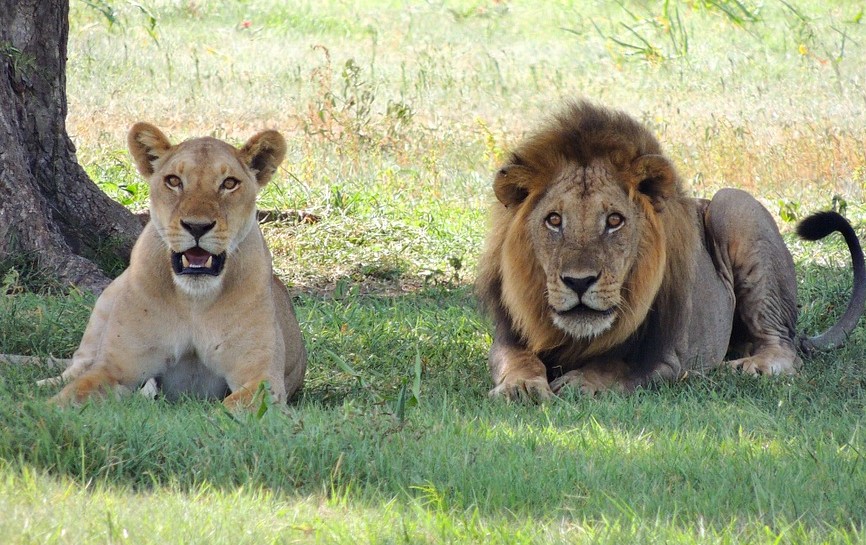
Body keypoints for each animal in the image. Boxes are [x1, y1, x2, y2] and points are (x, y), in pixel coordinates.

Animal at [50, 121, 308, 406]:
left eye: (229, 183)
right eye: (173, 181)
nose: (197, 226)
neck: (193, 300)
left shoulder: (262, 378)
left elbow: (233, 407)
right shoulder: (114, 368)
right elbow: (71, 395)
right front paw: (40, 407)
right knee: (76, 366)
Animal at [476, 102, 860, 400]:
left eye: (614, 221)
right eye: (554, 220)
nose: (579, 282)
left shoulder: (668, 356)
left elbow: (617, 366)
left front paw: (581, 383)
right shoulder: (508, 338)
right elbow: (518, 360)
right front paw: (521, 387)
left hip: (734, 205)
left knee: (785, 348)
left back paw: (748, 367)